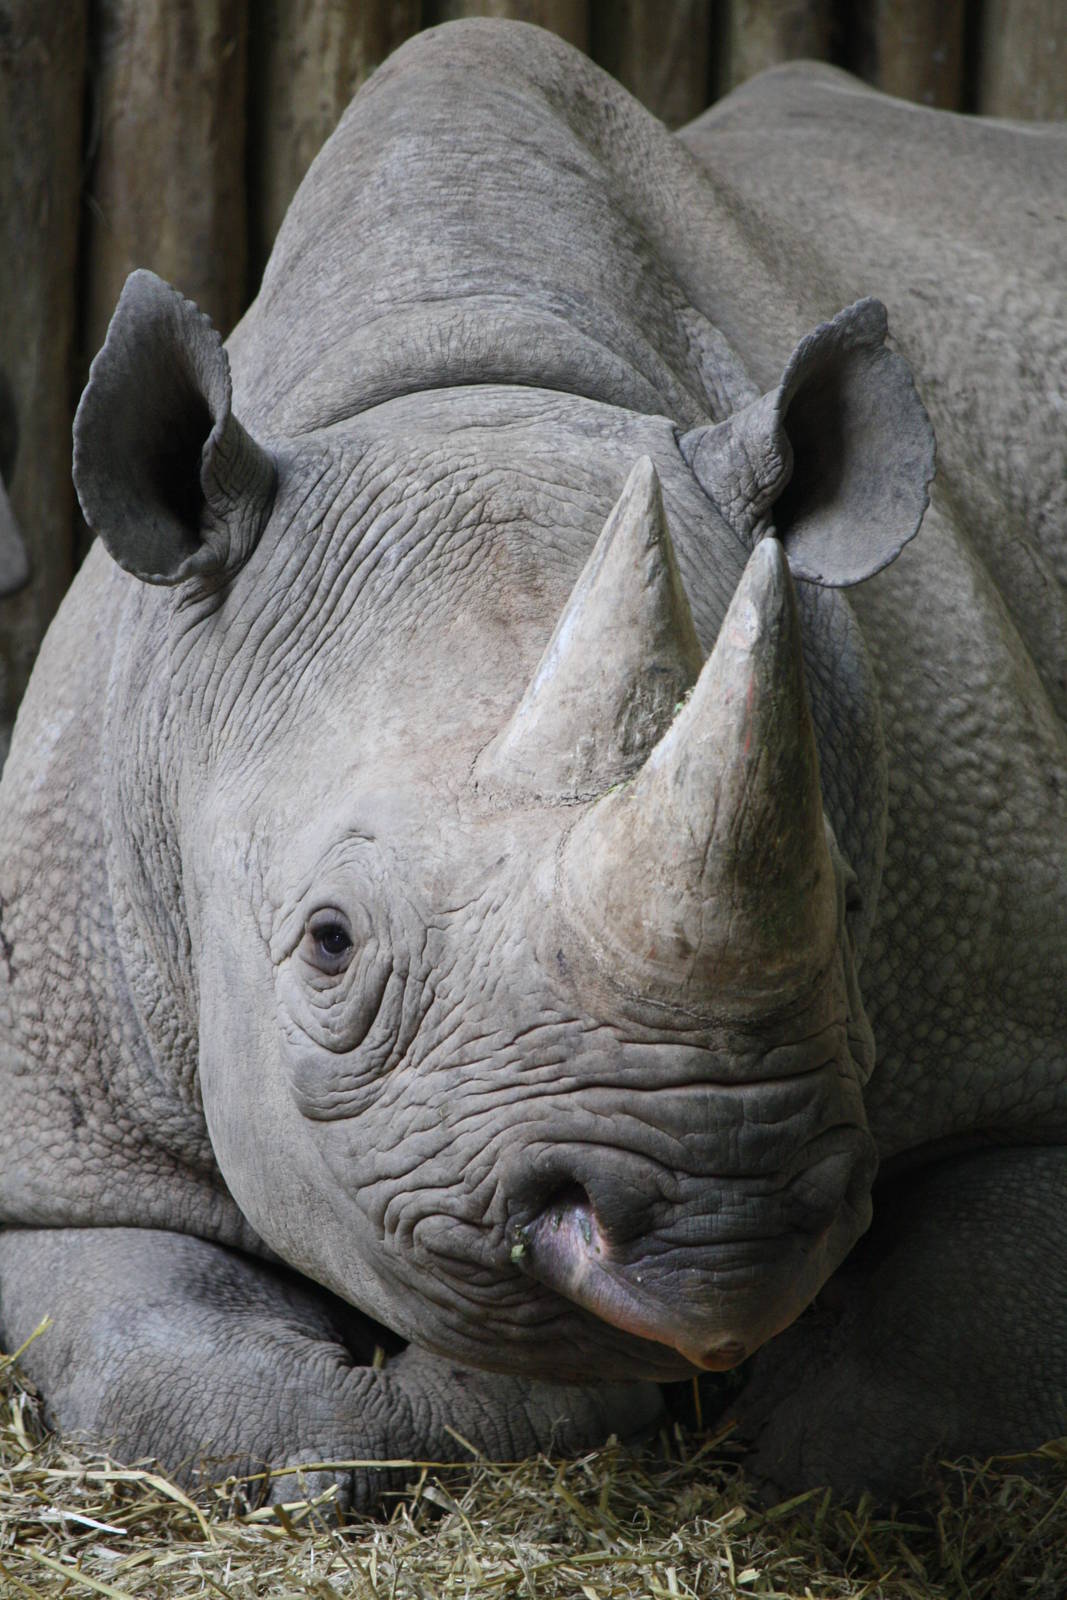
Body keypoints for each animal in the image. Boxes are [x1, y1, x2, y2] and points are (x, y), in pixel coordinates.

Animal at [0, 20, 1064, 1508]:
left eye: (852, 906)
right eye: (328, 943)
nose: (707, 1225)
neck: (472, 361)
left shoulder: (1015, 1056)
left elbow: (935, 1354)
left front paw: (767, 1429)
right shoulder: (60, 1133)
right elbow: (175, 1365)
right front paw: (512, 1406)